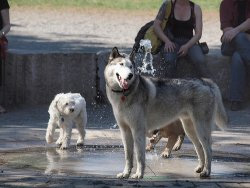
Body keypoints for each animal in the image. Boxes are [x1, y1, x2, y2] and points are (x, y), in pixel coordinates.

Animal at [104, 47, 228, 179]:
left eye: (131, 66)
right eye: (121, 64)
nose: (130, 75)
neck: (124, 94)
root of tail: (204, 81)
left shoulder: (138, 130)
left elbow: (139, 157)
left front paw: (138, 174)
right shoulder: (125, 131)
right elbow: (128, 156)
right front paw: (125, 174)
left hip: (201, 128)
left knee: (208, 149)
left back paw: (206, 172)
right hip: (190, 129)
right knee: (199, 147)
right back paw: (200, 168)